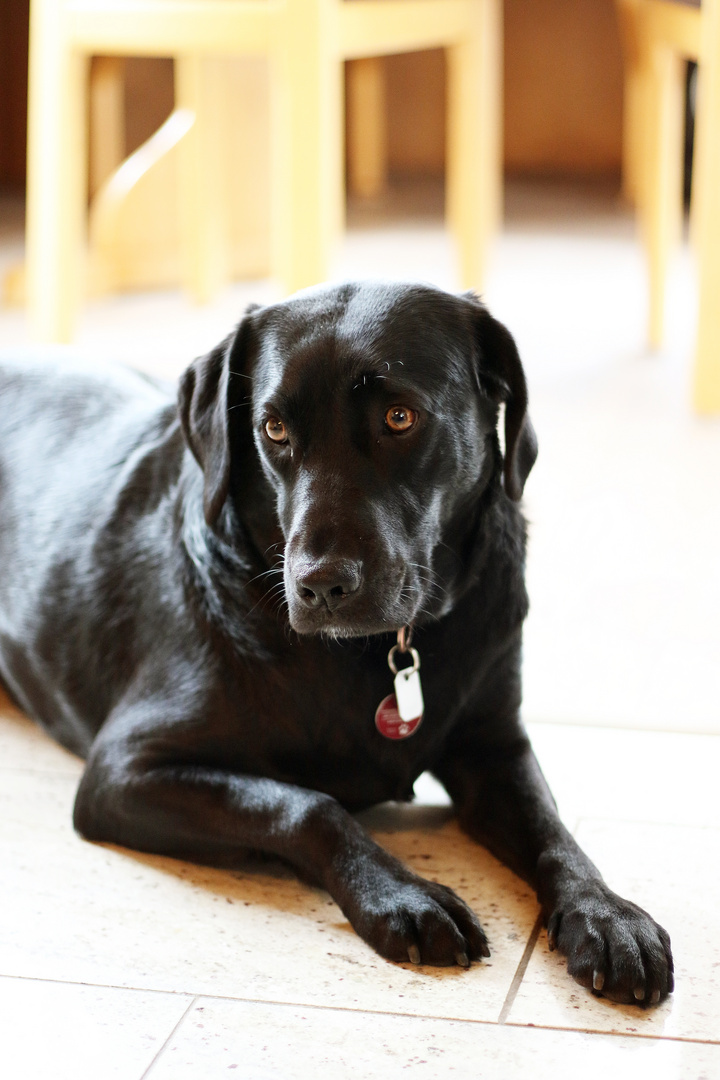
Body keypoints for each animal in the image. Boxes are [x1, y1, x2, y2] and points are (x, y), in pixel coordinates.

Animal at [1, 280, 677, 1002]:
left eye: (400, 417)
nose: (320, 585)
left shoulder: (494, 743)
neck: (376, 650)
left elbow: (553, 828)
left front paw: (607, 915)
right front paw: (404, 895)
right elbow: (304, 805)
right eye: (273, 429)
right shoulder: (123, 770)